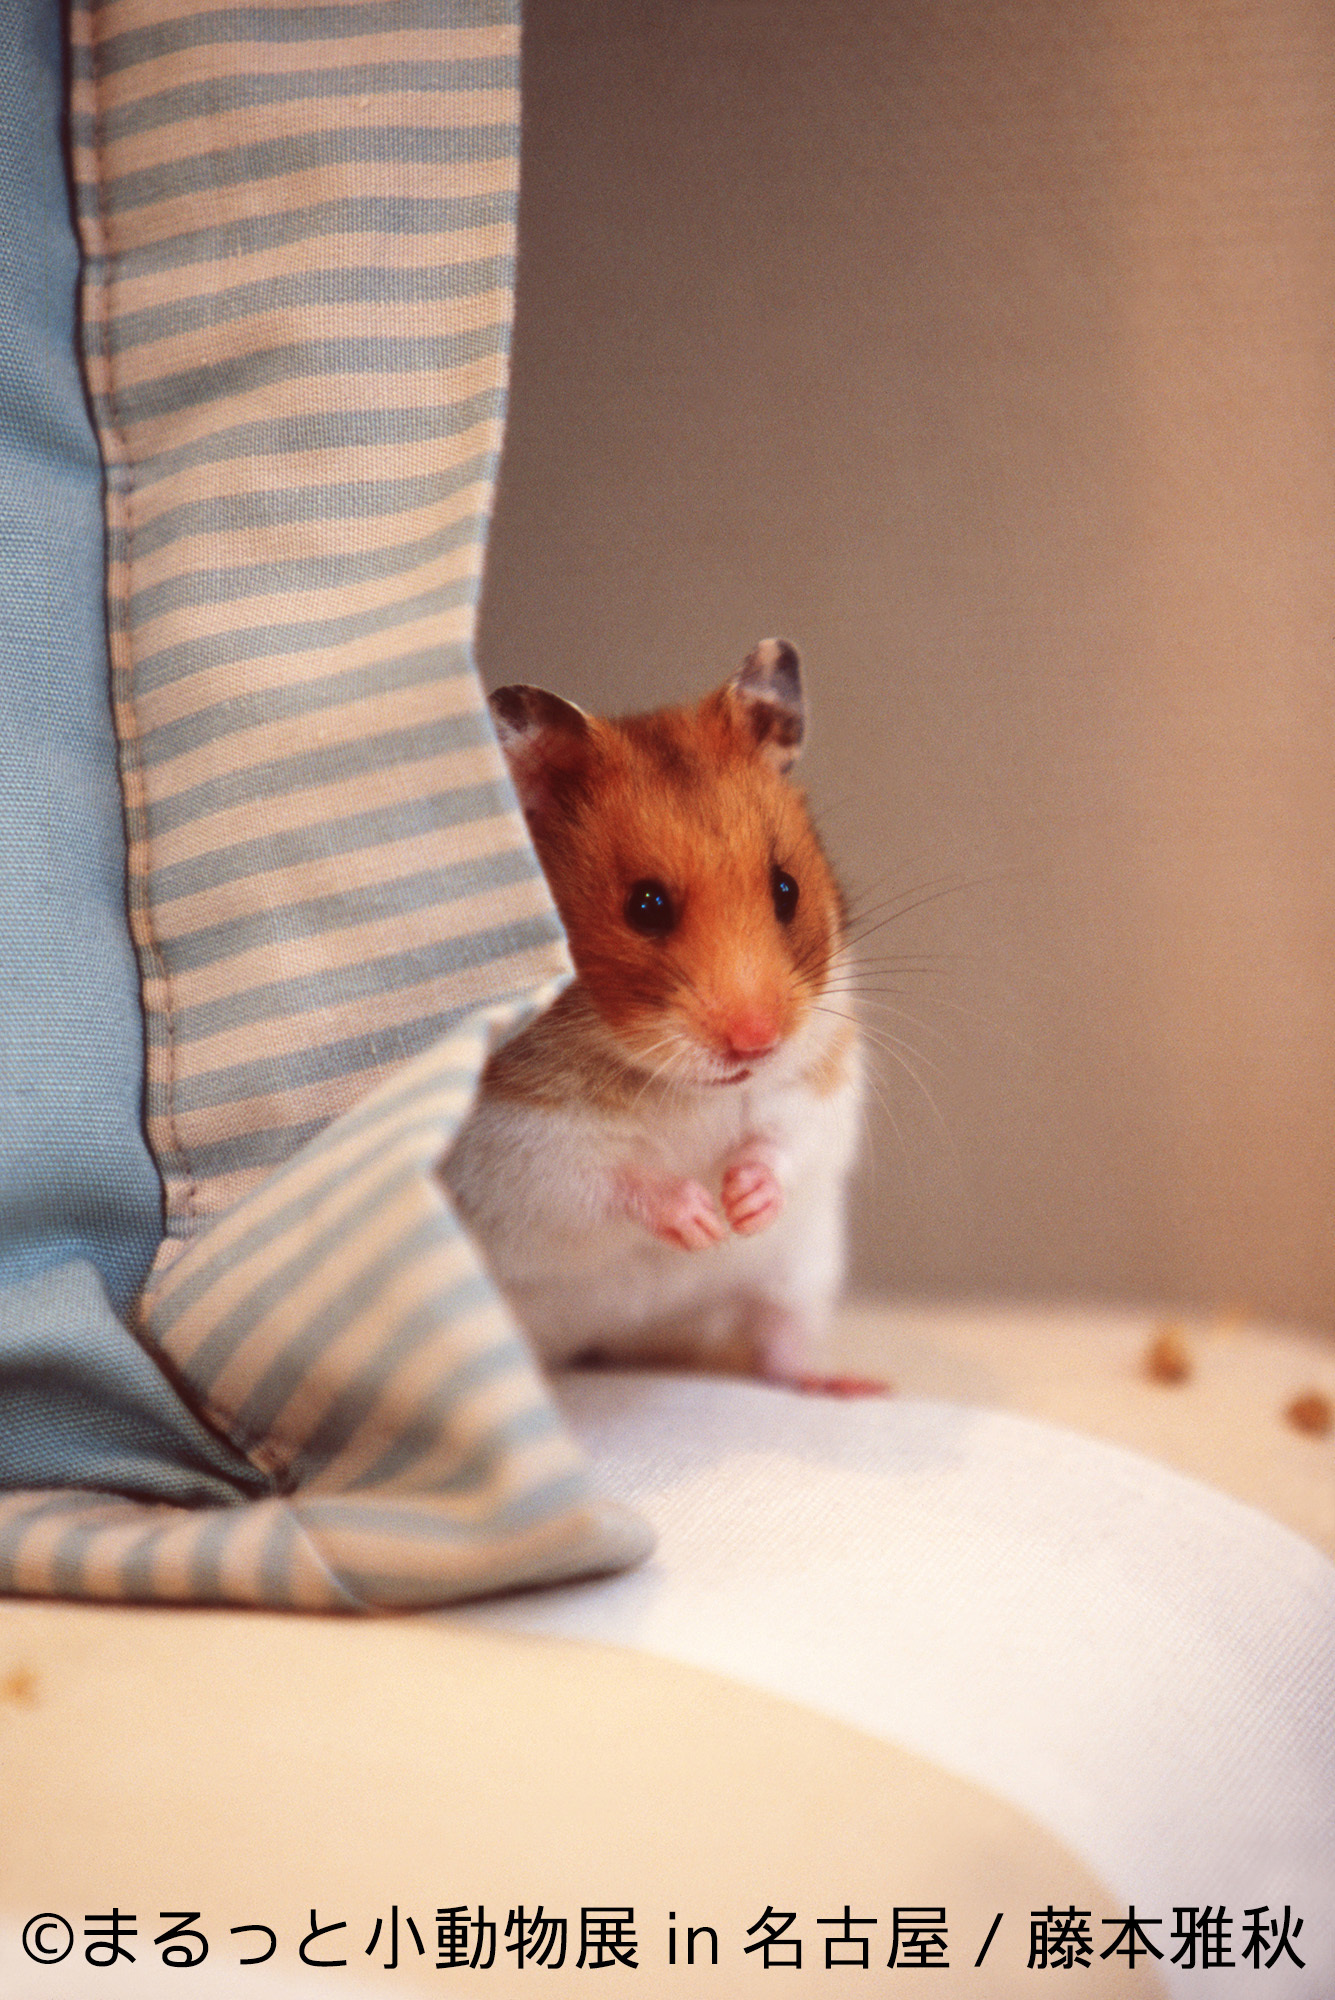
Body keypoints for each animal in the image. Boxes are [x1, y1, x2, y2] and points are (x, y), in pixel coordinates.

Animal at [443, 640, 867, 1392]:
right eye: (645, 907)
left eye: (786, 889)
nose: (756, 1042)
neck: (674, 1086)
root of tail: (611, 1342)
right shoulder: (518, 1146)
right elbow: (611, 1180)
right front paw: (701, 1222)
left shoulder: (821, 1081)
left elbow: (784, 1139)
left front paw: (741, 1208)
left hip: (805, 1272)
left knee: (780, 1341)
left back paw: (845, 1385)